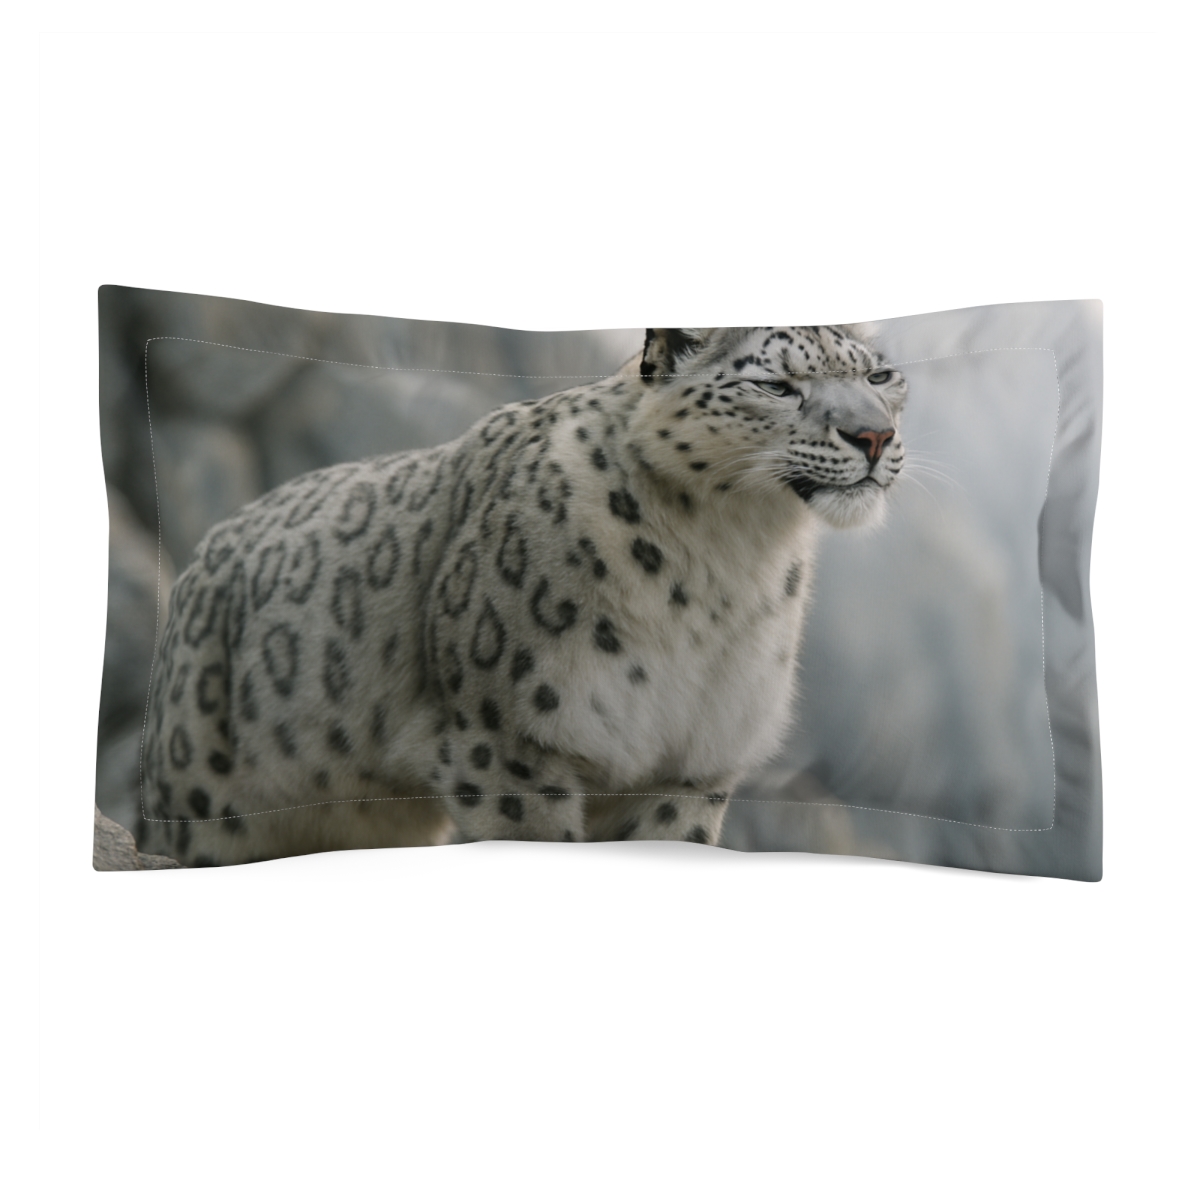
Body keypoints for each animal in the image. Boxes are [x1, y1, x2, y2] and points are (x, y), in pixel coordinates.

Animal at [137, 326, 907, 865]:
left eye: (880, 374)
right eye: (777, 384)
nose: (874, 435)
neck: (729, 562)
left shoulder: (691, 764)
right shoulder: (509, 741)